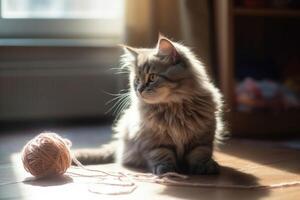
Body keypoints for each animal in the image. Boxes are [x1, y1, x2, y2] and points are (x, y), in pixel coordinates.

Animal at [74, 34, 225, 175]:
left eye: (152, 77)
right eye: (137, 80)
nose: (139, 90)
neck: (173, 109)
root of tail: (118, 144)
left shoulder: (202, 138)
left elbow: (200, 153)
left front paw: (204, 167)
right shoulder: (153, 140)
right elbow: (162, 154)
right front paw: (166, 170)